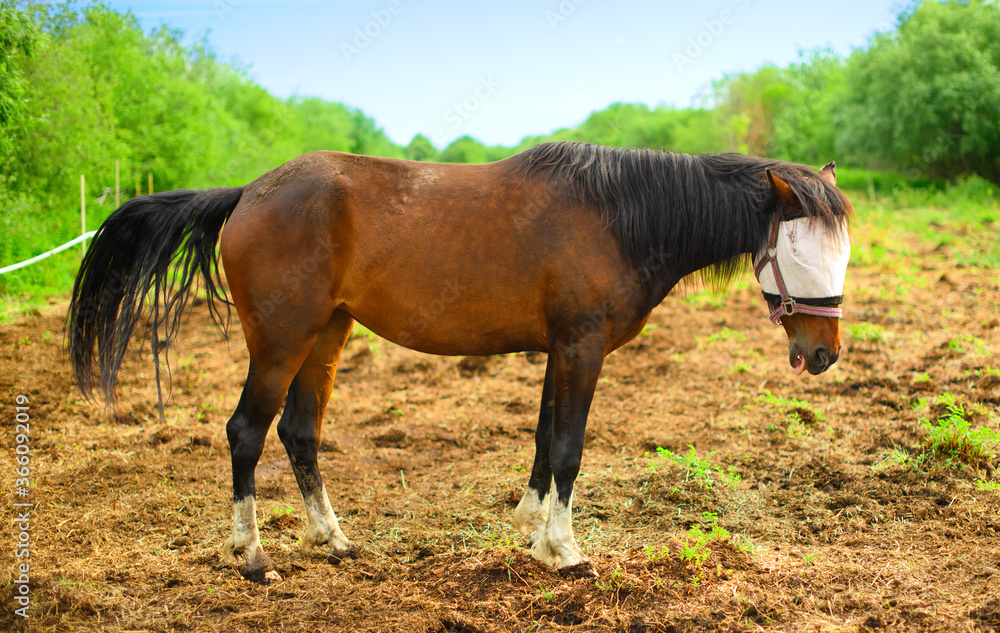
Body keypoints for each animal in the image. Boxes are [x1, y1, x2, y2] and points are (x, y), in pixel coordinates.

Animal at [68, 141, 852, 582]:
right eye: (801, 250)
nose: (823, 355)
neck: (620, 217)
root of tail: (248, 194)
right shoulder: (580, 345)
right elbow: (569, 447)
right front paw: (563, 550)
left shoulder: (559, 348)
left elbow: (544, 440)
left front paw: (529, 525)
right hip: (281, 343)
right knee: (246, 432)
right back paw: (254, 556)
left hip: (326, 336)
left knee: (298, 432)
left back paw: (333, 541)